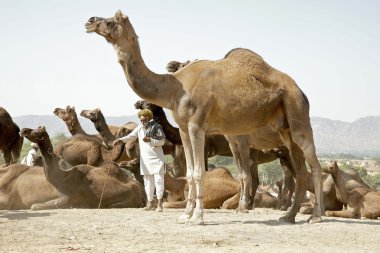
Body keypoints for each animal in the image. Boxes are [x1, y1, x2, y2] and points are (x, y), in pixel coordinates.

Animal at [19, 126, 148, 210]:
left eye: (38, 132)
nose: (23, 130)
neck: (63, 178)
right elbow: (34, 204)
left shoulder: (65, 201)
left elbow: (34, 206)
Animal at [86, 10, 324, 223]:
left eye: (110, 21)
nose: (90, 21)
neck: (174, 87)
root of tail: (300, 91)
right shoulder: (184, 130)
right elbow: (191, 173)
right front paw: (186, 215)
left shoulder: (196, 126)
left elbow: (199, 172)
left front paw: (198, 217)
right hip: (285, 130)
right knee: (300, 171)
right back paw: (289, 216)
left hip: (297, 112)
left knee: (314, 165)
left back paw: (316, 216)